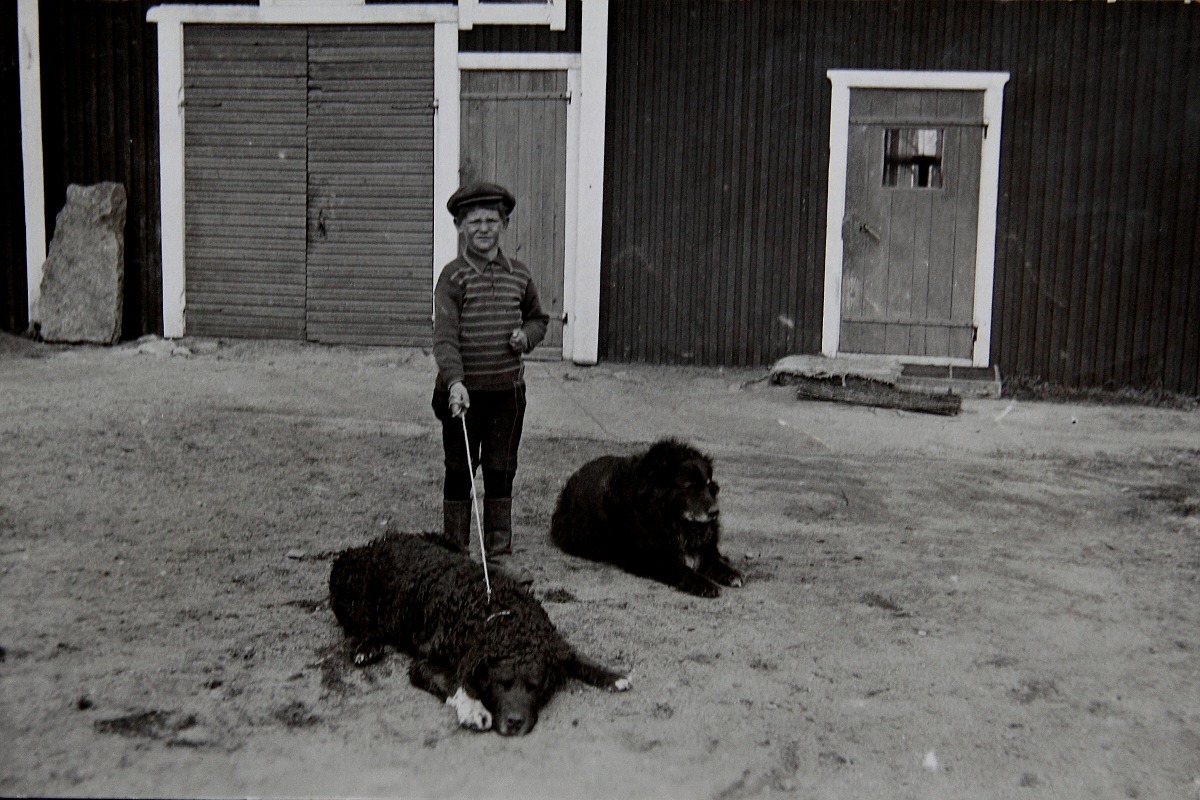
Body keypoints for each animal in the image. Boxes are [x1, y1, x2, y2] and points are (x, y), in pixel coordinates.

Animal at [328, 532, 628, 738]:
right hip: (352, 586)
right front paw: (474, 709)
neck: (498, 613)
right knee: (360, 625)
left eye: (535, 686)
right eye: (501, 684)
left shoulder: (553, 643)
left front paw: (612, 675)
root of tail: (373, 543)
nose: (515, 723)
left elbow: (575, 655)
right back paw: (367, 647)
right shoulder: (426, 664)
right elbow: (453, 683)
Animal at [549, 438, 739, 599]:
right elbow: (683, 569)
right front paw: (703, 584)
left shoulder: (705, 549)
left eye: (708, 485)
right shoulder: (653, 557)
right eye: (689, 486)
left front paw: (730, 572)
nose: (715, 512)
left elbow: (715, 560)